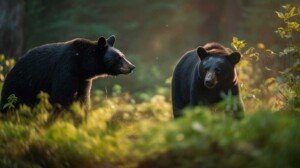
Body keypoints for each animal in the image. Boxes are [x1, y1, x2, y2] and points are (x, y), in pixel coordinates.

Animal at [0, 34, 134, 112]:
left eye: (123, 55)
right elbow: (63, 96)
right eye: (119, 57)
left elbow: (83, 97)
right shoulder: (66, 69)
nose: (132, 66)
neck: (82, 64)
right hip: (21, 87)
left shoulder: (83, 79)